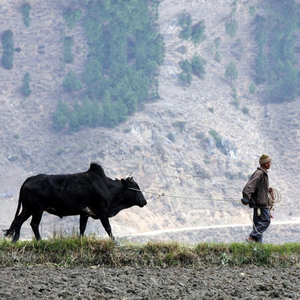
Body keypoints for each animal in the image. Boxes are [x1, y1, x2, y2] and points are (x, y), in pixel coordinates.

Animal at [3, 163, 146, 243]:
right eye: (135, 187)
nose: (144, 201)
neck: (107, 187)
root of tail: (28, 179)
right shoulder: (102, 212)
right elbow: (108, 228)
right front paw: (115, 242)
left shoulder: (85, 213)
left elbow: (82, 228)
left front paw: (80, 241)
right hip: (37, 209)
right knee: (33, 224)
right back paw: (40, 241)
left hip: (28, 209)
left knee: (18, 221)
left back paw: (15, 240)